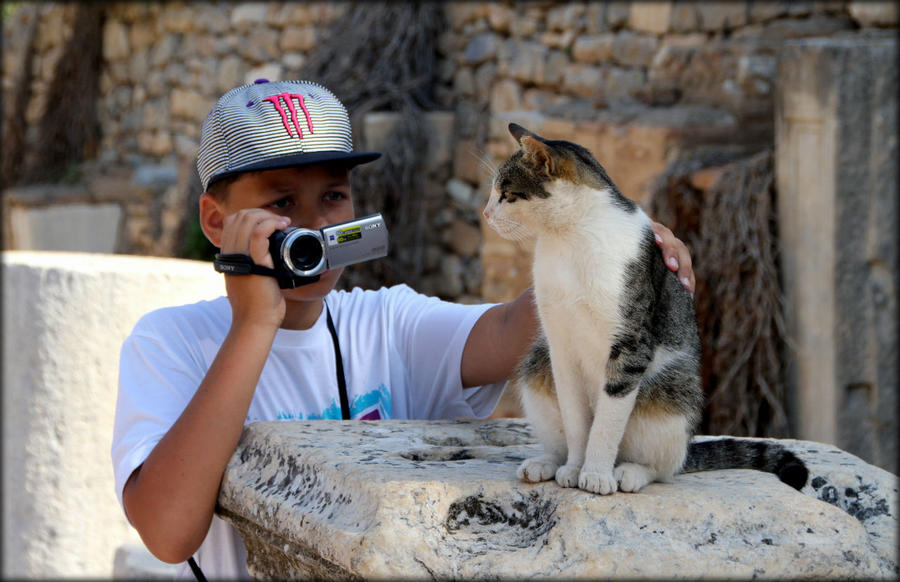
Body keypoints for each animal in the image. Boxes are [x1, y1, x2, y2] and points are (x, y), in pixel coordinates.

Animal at [486, 124, 808, 498]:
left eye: (506, 193)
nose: (485, 214)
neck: (570, 238)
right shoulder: (559, 345)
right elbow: (577, 421)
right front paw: (574, 469)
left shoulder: (630, 344)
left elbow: (606, 423)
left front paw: (595, 474)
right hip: (538, 364)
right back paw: (547, 463)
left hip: (671, 391)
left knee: (665, 466)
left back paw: (630, 472)